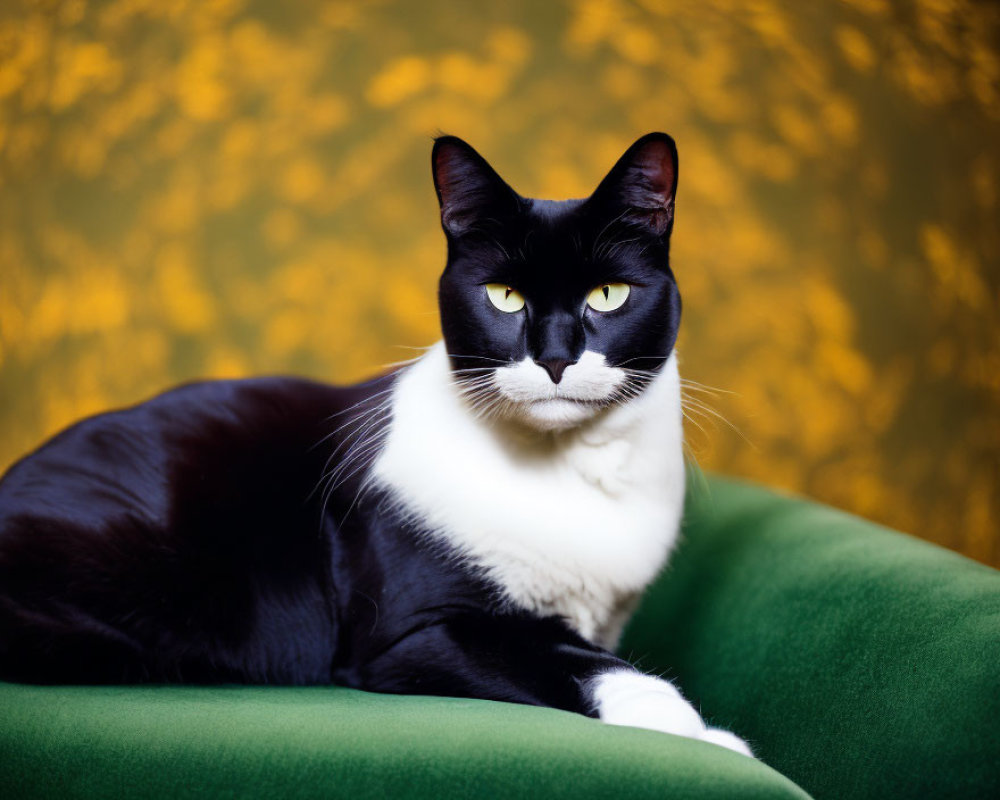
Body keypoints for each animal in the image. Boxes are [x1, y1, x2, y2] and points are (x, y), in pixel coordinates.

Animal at [0, 133, 752, 756]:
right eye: (504, 296)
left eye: (609, 294)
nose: (556, 357)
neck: (571, 466)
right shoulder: (413, 634)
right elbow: (584, 663)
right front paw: (713, 740)